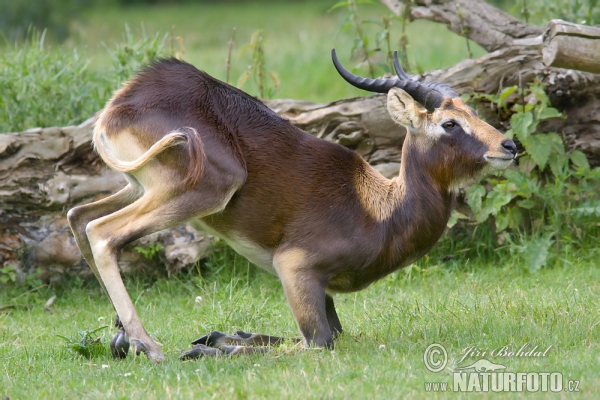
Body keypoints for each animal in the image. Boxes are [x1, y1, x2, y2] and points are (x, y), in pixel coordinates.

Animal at [64, 50, 516, 362]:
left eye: (474, 112)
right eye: (449, 123)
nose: (509, 146)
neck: (379, 211)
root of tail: (121, 102)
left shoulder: (322, 291)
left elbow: (326, 334)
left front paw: (220, 337)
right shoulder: (295, 269)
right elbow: (318, 342)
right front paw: (211, 347)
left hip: (140, 187)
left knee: (79, 216)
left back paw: (121, 340)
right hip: (205, 188)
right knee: (102, 233)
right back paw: (149, 346)